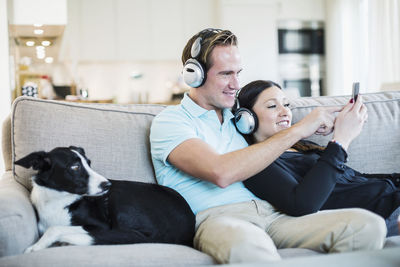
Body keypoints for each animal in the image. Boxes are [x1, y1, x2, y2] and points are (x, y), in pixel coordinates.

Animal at [16, 147, 195, 253]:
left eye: (89, 163)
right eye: (75, 167)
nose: (108, 184)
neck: (58, 200)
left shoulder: (101, 226)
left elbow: (55, 229)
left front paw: (37, 246)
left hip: (122, 200)